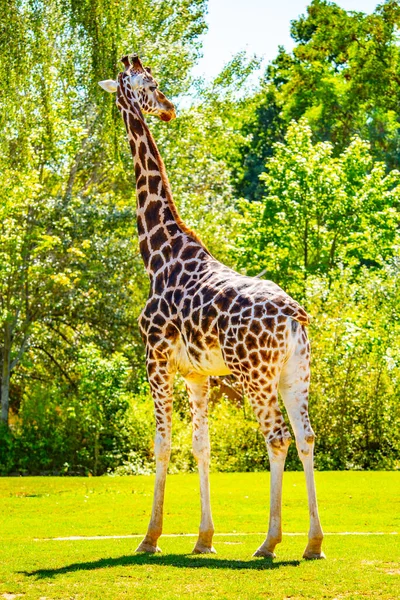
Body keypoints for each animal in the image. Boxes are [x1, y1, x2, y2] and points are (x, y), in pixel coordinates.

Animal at [99, 54, 324, 560]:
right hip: (295, 373)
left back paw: (269, 542)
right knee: (305, 436)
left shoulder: (155, 357)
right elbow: (201, 446)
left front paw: (150, 537)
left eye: (152, 82)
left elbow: (162, 443)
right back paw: (313, 544)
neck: (157, 253)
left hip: (254, 376)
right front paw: (203, 538)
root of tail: (293, 315)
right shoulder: (196, 374)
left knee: (277, 437)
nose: (168, 108)